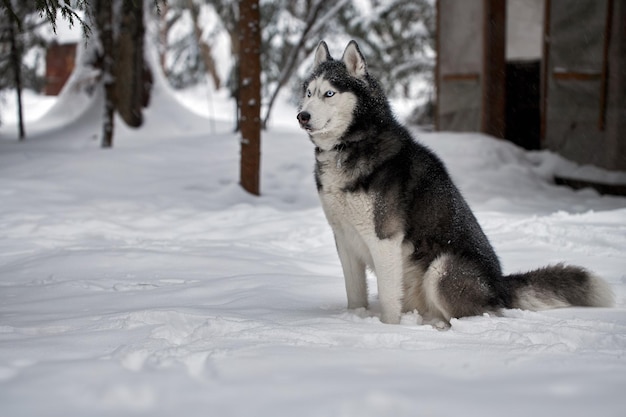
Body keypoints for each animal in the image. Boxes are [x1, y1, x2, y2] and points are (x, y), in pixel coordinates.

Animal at [294, 40, 612, 324]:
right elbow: (355, 294)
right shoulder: (344, 239)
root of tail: (500, 285)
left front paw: (386, 331)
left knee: (476, 317)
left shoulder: (384, 239)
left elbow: (388, 301)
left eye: (329, 93)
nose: (302, 115)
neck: (349, 147)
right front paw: (354, 320)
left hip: (443, 267)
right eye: (308, 93)